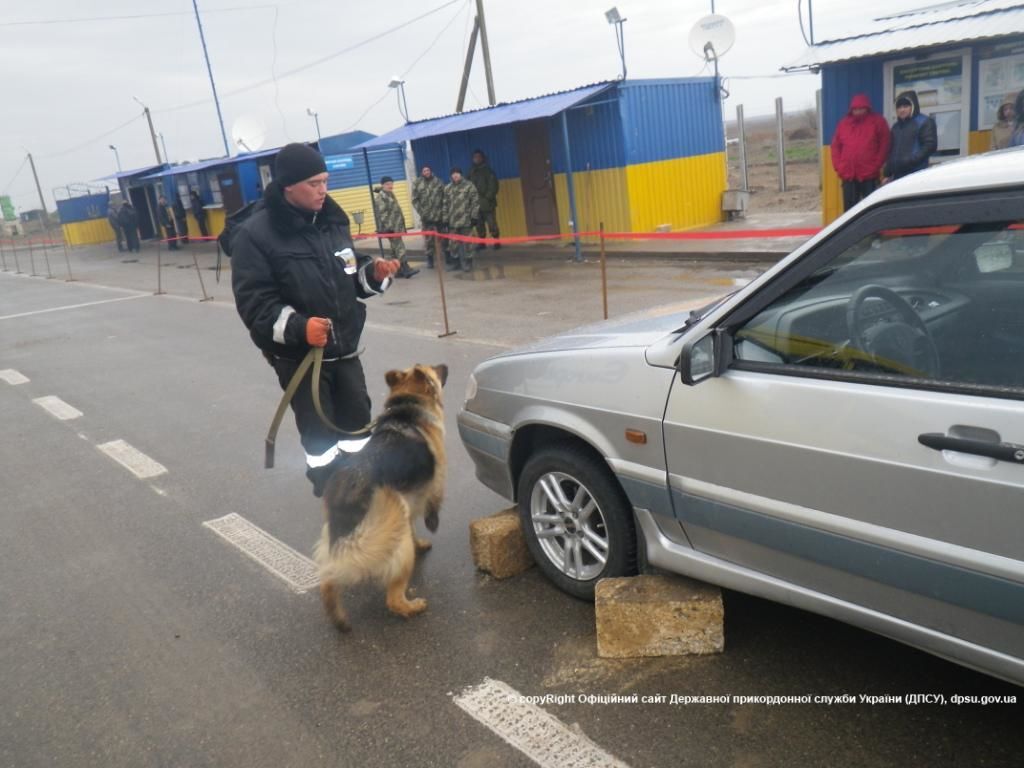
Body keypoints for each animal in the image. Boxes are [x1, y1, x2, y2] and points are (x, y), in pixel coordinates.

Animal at [313, 364, 446, 630]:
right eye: (434, 370)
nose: (445, 367)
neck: (408, 406)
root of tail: (347, 490)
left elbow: (413, 525)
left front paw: (420, 541)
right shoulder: (431, 485)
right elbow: (428, 510)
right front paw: (428, 529)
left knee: (329, 579)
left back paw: (338, 618)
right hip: (396, 538)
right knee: (393, 599)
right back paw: (411, 607)